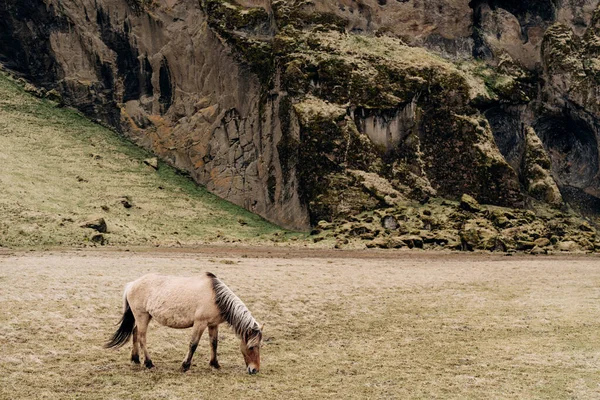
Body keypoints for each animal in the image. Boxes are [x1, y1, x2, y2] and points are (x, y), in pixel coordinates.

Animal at [103, 272, 262, 376]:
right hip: (142, 316)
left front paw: (215, 364)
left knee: (135, 333)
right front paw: (185, 366)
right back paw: (149, 363)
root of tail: (132, 284)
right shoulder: (200, 323)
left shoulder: (212, 324)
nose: (254, 370)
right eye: (251, 347)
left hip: (144, 317)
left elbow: (214, 343)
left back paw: (135, 359)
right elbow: (193, 344)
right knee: (142, 338)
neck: (216, 297)